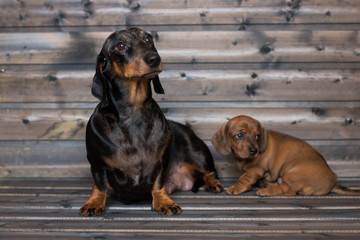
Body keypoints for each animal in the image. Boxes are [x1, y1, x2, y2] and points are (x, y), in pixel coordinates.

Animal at [212, 115, 358, 196]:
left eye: (257, 136)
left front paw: (236, 188)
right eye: (239, 135)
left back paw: (266, 191)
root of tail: (333, 181)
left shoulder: (254, 170)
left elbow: (243, 179)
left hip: (293, 174)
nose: (254, 151)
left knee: (288, 190)